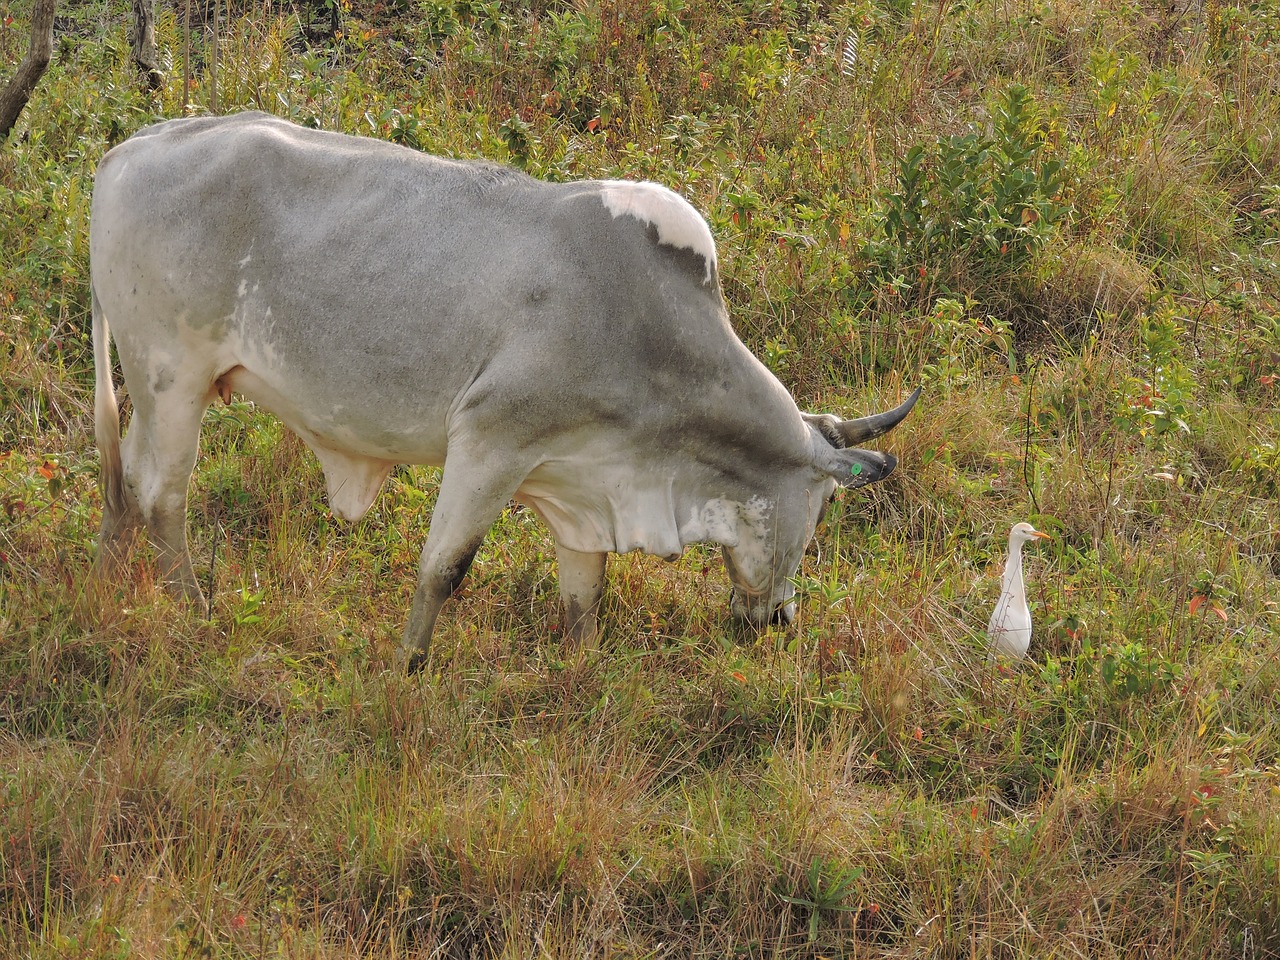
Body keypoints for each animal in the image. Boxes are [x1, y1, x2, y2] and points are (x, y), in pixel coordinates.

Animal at [94, 110, 921, 670]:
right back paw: (194, 610)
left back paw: (122, 579)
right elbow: (444, 568)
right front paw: (407, 669)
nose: (781, 621)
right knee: (164, 492)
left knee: (126, 474)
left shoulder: (582, 483)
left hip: (152, 385)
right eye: (824, 510)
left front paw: (582, 673)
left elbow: (584, 594)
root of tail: (130, 149)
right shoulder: (491, 440)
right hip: (174, 377)